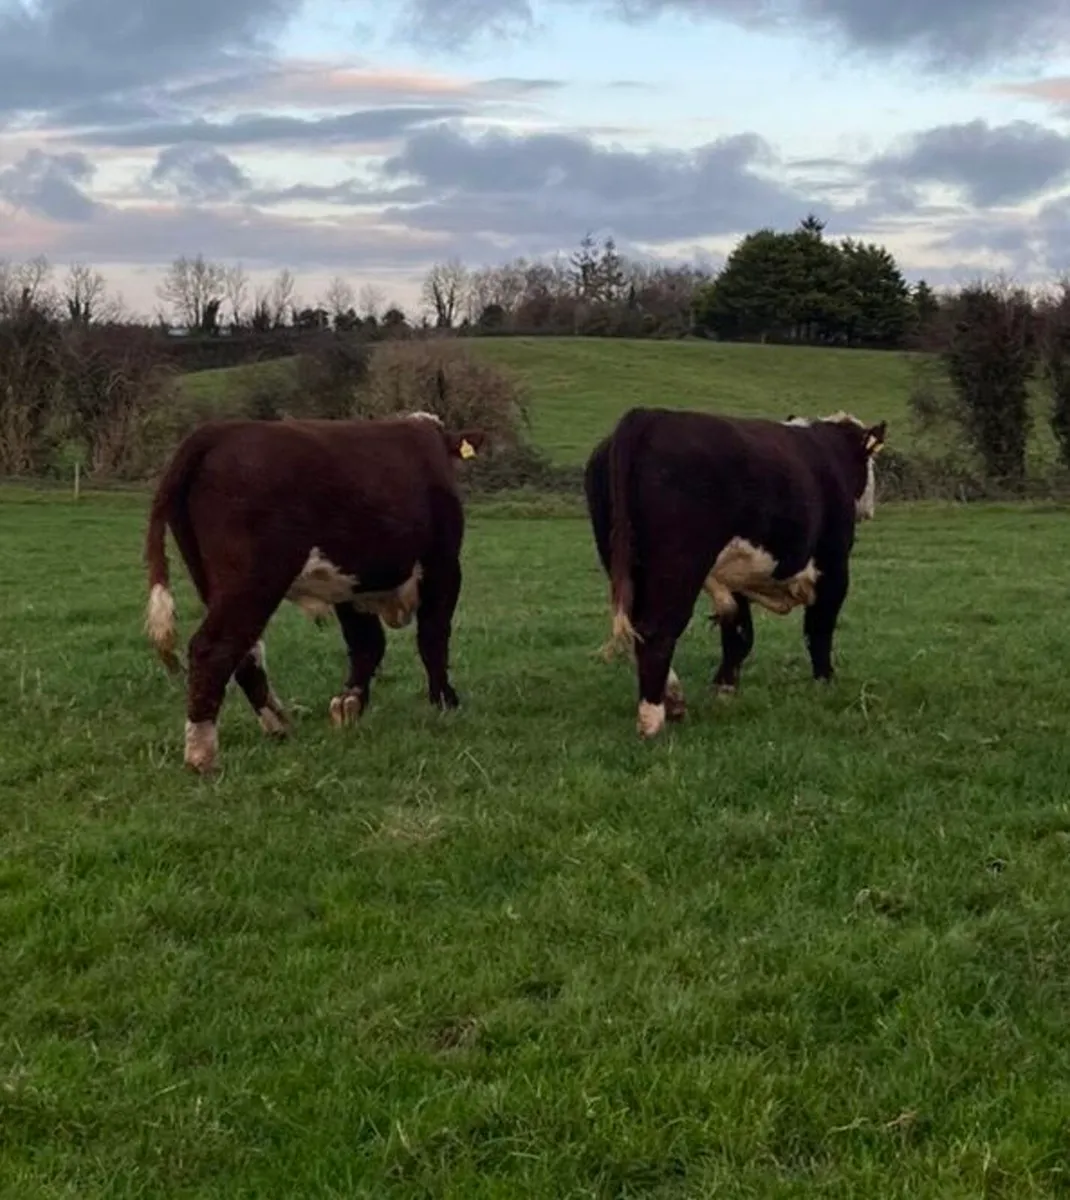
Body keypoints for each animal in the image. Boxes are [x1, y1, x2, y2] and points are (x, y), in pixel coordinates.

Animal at [143, 411, 485, 773]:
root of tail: (218, 431)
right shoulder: (443, 565)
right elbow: (433, 638)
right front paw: (445, 702)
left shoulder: (351, 583)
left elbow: (367, 644)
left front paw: (350, 704)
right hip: (253, 581)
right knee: (213, 648)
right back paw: (202, 756)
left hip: (209, 578)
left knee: (246, 651)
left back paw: (279, 725)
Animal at [583, 406, 887, 737]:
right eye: (870, 460)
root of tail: (649, 416)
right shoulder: (833, 568)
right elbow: (818, 630)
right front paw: (825, 683)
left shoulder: (735, 579)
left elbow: (739, 634)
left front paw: (724, 690)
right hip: (679, 568)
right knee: (657, 632)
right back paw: (653, 720)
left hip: (625, 564)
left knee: (638, 630)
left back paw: (674, 699)